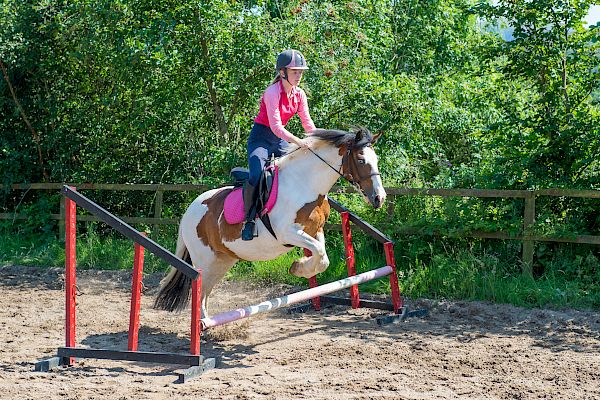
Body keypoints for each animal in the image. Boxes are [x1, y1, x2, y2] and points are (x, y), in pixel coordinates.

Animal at [155, 126, 386, 318]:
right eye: (361, 160)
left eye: (376, 160)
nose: (379, 198)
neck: (305, 183)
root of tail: (190, 210)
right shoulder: (287, 233)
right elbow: (319, 253)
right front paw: (298, 267)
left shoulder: (314, 230)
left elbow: (322, 258)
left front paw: (301, 267)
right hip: (204, 260)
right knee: (200, 291)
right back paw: (204, 327)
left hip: (223, 259)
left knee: (205, 293)